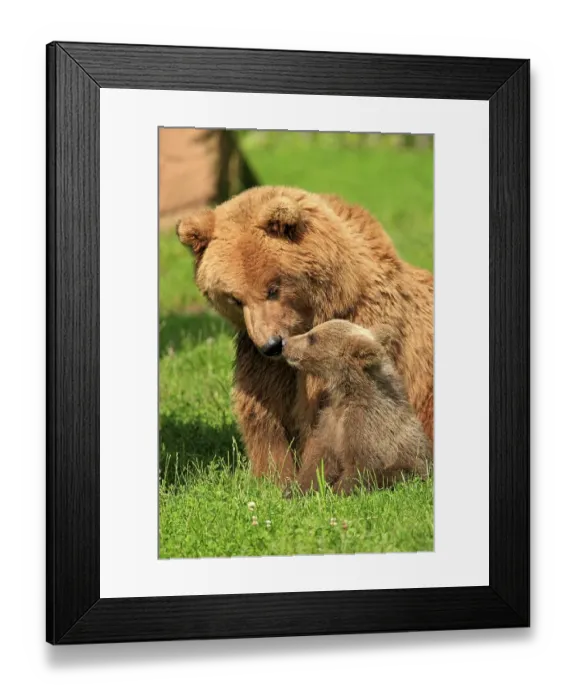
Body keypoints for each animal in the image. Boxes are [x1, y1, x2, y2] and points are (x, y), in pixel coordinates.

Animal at [281, 319, 431, 494]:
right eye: (311, 332)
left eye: (312, 337)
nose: (284, 343)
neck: (347, 394)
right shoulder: (330, 422)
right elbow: (319, 460)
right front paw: (294, 490)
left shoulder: (367, 425)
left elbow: (361, 468)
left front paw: (337, 491)